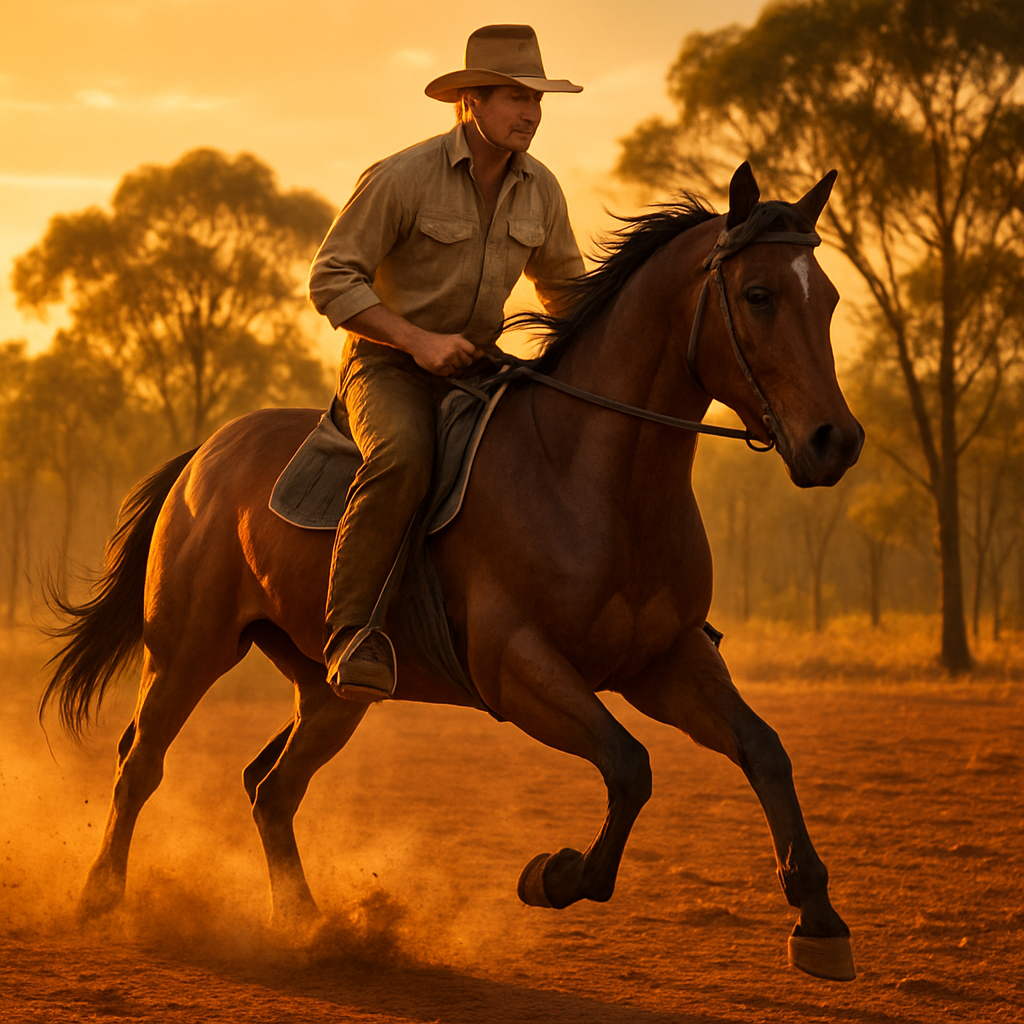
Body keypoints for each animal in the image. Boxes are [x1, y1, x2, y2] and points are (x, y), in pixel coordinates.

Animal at [43, 162, 864, 982]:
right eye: (758, 294)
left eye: (827, 297)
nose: (836, 440)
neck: (590, 478)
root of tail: (205, 455)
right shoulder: (517, 666)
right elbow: (631, 766)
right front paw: (553, 875)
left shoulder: (666, 660)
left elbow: (763, 750)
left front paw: (820, 920)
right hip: (188, 651)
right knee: (140, 764)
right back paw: (100, 900)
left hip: (332, 690)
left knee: (271, 790)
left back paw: (306, 923)